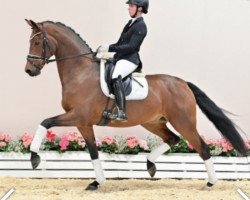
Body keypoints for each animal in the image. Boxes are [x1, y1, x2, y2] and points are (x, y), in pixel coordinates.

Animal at [24, 19, 247, 191]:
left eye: (37, 41)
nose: (29, 70)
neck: (81, 73)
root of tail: (183, 83)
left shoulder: (79, 115)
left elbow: (45, 122)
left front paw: (34, 157)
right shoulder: (83, 123)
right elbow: (93, 152)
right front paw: (97, 182)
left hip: (183, 121)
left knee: (202, 146)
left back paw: (210, 183)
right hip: (153, 122)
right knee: (173, 139)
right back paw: (150, 165)